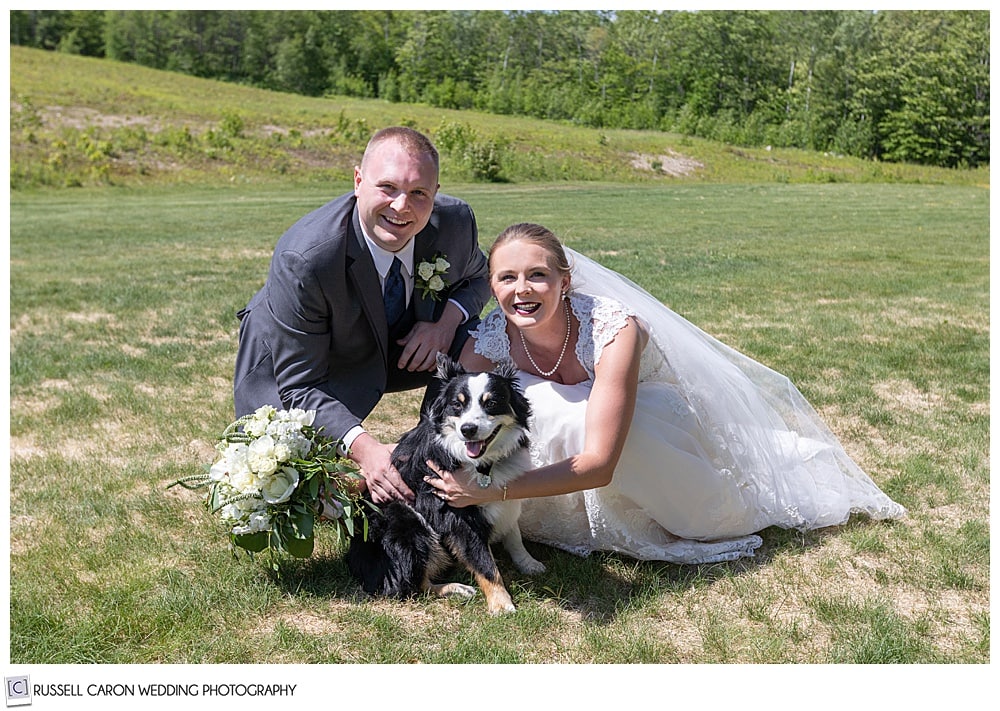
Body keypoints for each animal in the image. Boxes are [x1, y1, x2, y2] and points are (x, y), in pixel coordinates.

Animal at [346, 354, 548, 616]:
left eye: (491, 403)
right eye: (457, 404)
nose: (468, 429)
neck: (482, 464)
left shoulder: (504, 499)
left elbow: (513, 533)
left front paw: (528, 562)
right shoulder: (457, 516)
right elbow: (485, 564)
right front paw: (502, 604)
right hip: (407, 519)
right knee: (409, 586)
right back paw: (456, 588)